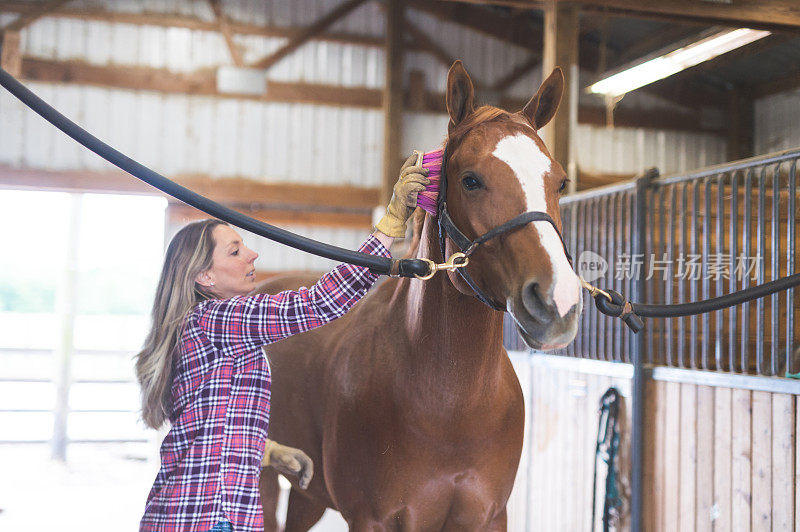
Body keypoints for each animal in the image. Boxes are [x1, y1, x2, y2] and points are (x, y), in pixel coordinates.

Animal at [256, 60, 580, 528]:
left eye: (560, 182)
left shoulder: (489, 517)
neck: (450, 410)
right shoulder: (370, 520)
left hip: (308, 493)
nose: (558, 302)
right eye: (470, 180)